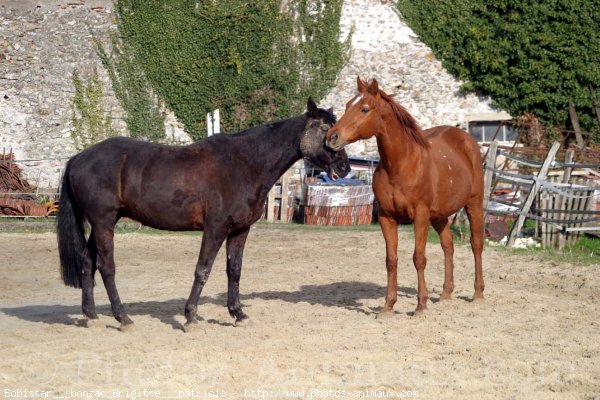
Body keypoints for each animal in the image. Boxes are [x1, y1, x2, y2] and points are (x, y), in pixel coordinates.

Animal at [58, 100, 350, 332]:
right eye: (325, 130)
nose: (344, 167)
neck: (245, 163)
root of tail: (78, 158)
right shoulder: (215, 228)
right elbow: (203, 270)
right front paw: (190, 317)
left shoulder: (240, 230)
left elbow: (234, 271)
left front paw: (238, 314)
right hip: (104, 222)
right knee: (106, 267)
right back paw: (123, 318)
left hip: (102, 223)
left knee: (87, 262)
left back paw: (91, 316)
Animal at [326, 79, 486, 316]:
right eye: (347, 105)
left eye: (365, 108)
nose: (332, 138)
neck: (401, 165)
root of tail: (466, 139)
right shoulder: (387, 217)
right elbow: (391, 260)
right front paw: (388, 306)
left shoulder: (420, 215)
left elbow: (419, 258)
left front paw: (420, 305)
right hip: (439, 215)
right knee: (448, 246)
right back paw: (446, 294)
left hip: (474, 204)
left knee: (476, 244)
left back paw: (478, 294)